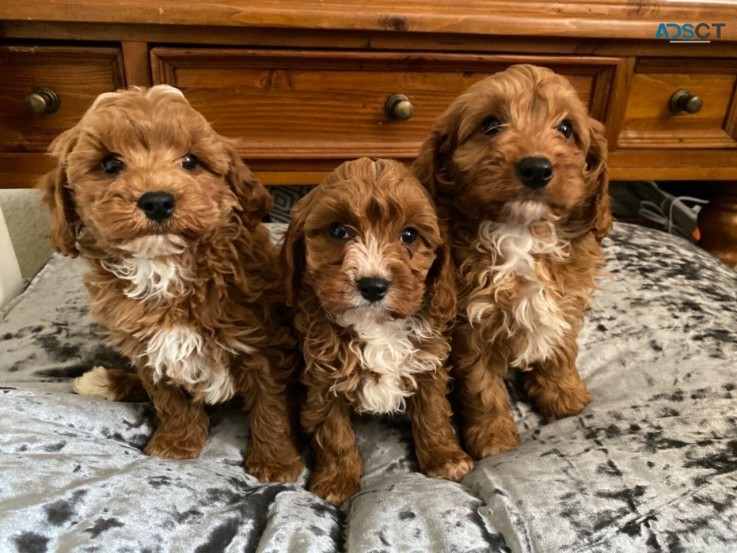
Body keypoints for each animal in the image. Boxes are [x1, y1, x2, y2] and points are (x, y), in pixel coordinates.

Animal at [38, 86, 304, 484]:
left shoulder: (262, 343)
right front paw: (177, 443)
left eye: (190, 162)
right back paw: (104, 380)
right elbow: (168, 398)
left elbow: (269, 404)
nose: (158, 200)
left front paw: (275, 462)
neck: (163, 268)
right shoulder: (147, 345)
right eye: (110, 165)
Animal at [282, 156, 472, 504]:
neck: (377, 325)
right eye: (338, 231)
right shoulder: (322, 377)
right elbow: (334, 431)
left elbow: (434, 412)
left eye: (409, 235)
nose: (373, 285)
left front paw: (445, 458)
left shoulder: (429, 363)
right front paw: (337, 481)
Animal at [414, 64, 608, 460]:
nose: (536, 168)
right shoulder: (469, 326)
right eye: (490, 125)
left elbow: (561, 349)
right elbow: (480, 386)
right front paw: (494, 439)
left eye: (566, 129)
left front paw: (564, 395)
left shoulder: (566, 300)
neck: (522, 233)